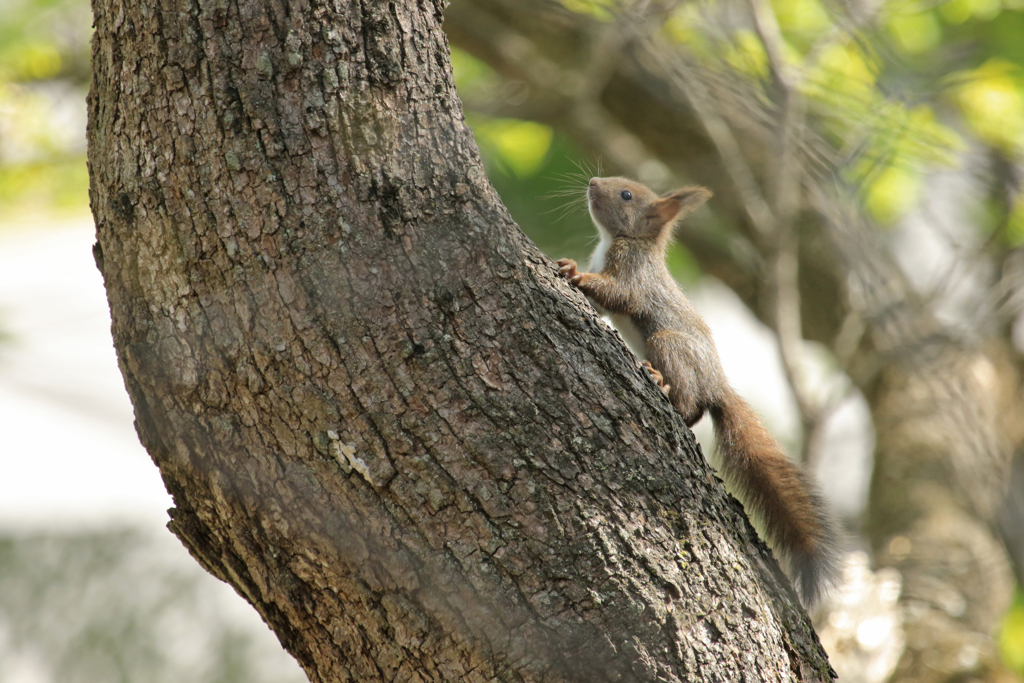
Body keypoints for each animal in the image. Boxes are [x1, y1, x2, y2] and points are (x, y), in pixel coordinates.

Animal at [561, 178, 839, 610]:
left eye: (626, 195)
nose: (592, 182)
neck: (625, 240)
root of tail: (717, 386)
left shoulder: (633, 274)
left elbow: (621, 295)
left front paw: (572, 271)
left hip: (667, 343)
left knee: (690, 408)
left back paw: (661, 383)